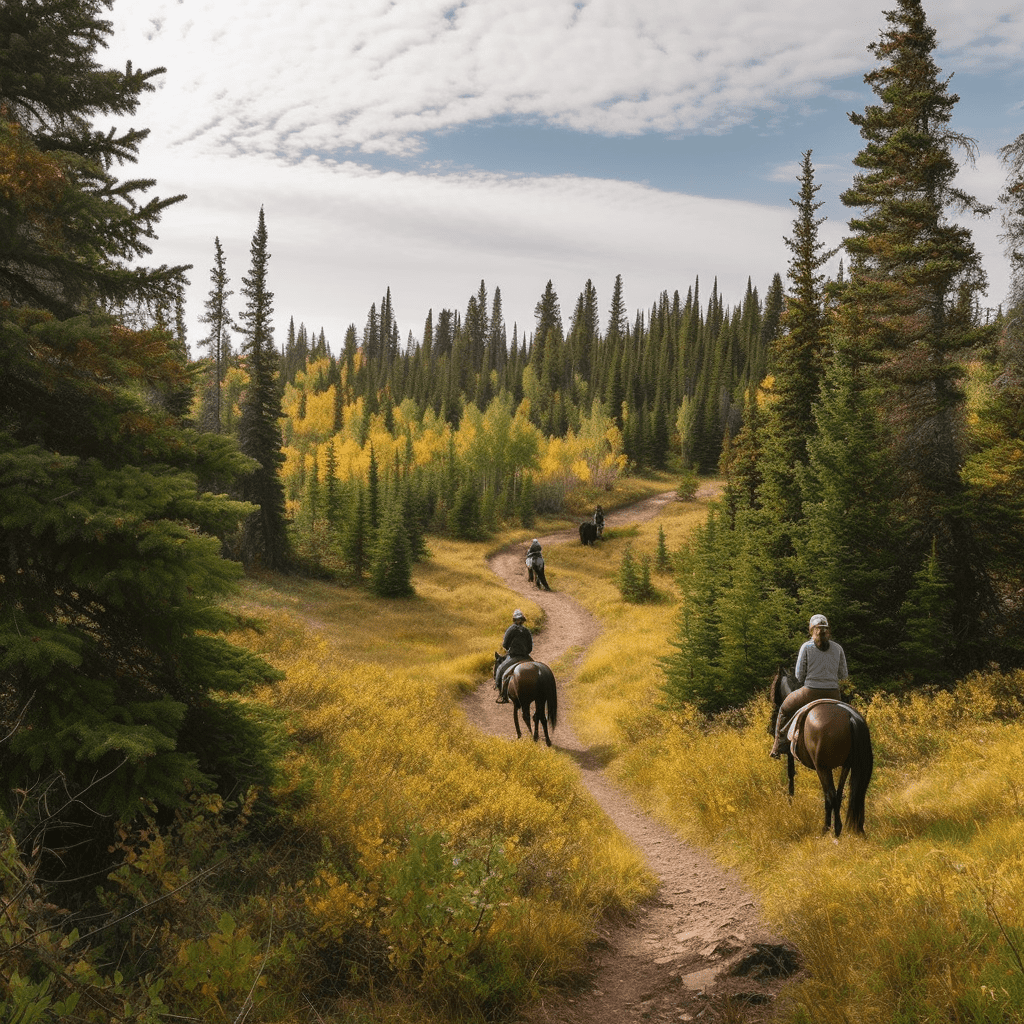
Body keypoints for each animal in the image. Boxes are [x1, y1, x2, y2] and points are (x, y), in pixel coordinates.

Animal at [770, 667, 872, 835]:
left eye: (774, 685)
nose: (773, 704)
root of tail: (850, 717)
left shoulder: (792, 754)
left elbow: (790, 775)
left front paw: (790, 800)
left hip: (822, 768)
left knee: (830, 795)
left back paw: (829, 829)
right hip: (847, 765)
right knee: (839, 794)